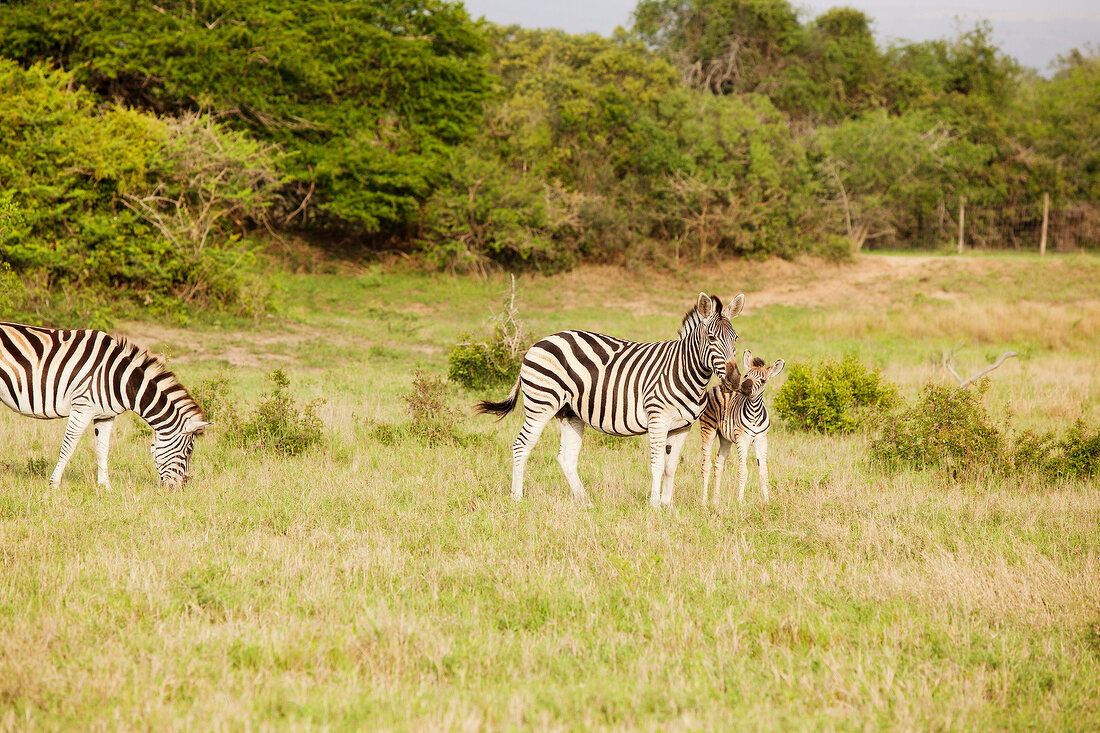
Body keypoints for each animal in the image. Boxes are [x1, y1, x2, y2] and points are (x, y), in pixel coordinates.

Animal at [0, 321, 210, 488]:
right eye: (189, 450)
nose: (181, 488)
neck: (120, 378)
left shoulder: (106, 415)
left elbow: (102, 449)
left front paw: (105, 487)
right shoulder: (82, 407)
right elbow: (68, 447)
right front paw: (54, 484)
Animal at [477, 290, 743, 508]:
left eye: (736, 338)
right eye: (711, 338)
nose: (734, 380)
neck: (684, 370)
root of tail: (538, 343)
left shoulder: (682, 427)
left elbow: (670, 466)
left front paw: (667, 505)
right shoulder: (658, 420)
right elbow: (657, 463)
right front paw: (655, 505)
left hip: (569, 412)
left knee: (567, 457)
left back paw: (586, 502)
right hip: (541, 403)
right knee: (522, 445)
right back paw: (517, 498)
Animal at [699, 347, 787, 501]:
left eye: (763, 380)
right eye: (746, 375)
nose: (745, 386)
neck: (755, 414)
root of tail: (717, 386)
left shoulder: (761, 440)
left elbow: (764, 472)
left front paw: (767, 501)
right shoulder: (742, 439)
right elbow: (742, 471)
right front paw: (740, 502)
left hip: (725, 438)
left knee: (718, 463)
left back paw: (715, 501)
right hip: (708, 429)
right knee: (706, 465)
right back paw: (704, 502)